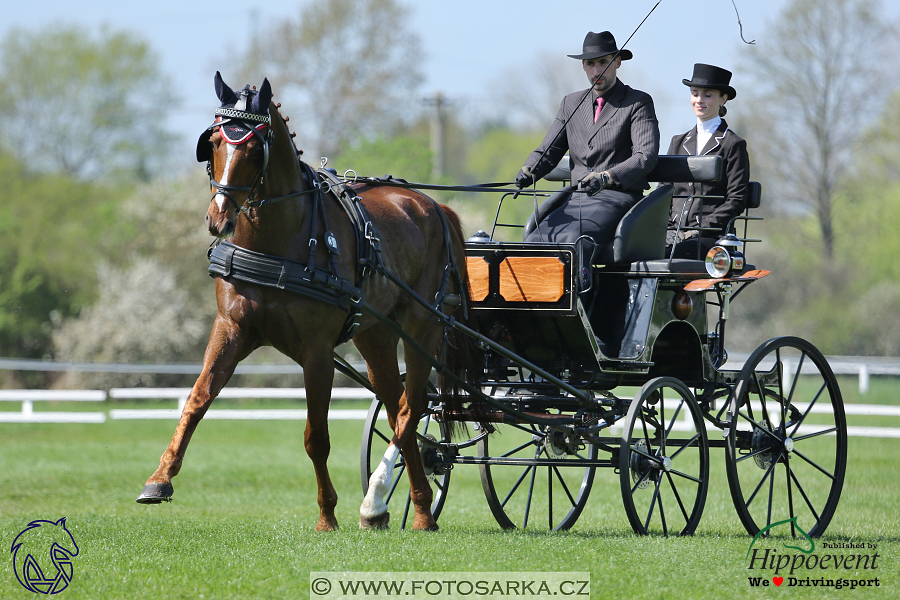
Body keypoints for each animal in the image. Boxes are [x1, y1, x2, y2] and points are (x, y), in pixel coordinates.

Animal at [136, 74, 474, 528]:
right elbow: (196, 400)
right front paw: (159, 479)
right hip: (375, 334)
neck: (279, 241)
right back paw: (408, 505)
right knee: (396, 406)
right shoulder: (232, 329)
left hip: (424, 326)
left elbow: (317, 437)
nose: (218, 218)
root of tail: (434, 204)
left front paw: (327, 515)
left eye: (253, 147)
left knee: (412, 407)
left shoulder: (316, 351)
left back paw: (388, 503)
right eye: (215, 142)